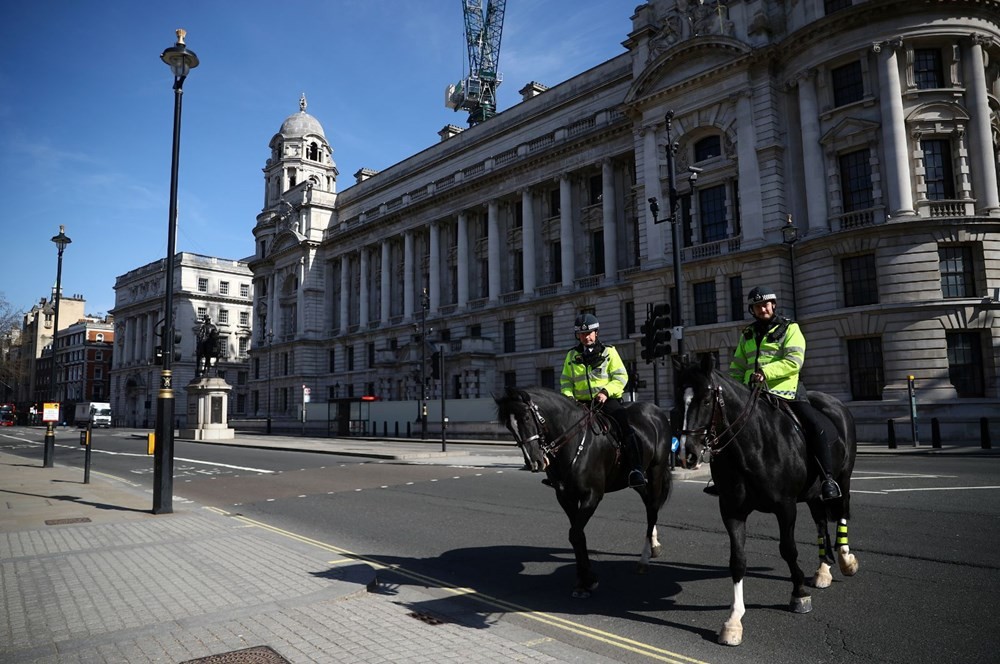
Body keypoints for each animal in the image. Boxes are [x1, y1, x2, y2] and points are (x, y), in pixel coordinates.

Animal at [498, 384, 676, 596]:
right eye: (508, 426)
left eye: (526, 417)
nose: (534, 462)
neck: (573, 444)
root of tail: (656, 410)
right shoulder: (565, 497)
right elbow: (577, 535)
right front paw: (584, 580)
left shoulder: (592, 496)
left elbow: (575, 533)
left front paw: (588, 579)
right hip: (636, 479)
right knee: (650, 505)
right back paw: (654, 544)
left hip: (655, 470)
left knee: (652, 509)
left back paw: (645, 558)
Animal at [680, 358, 860, 648]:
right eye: (680, 399)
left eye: (707, 400)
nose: (688, 454)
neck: (752, 444)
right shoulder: (731, 510)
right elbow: (738, 560)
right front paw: (734, 621)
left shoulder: (785, 507)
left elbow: (788, 549)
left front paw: (799, 593)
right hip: (813, 493)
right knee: (821, 520)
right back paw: (823, 570)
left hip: (843, 477)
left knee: (841, 508)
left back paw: (845, 560)